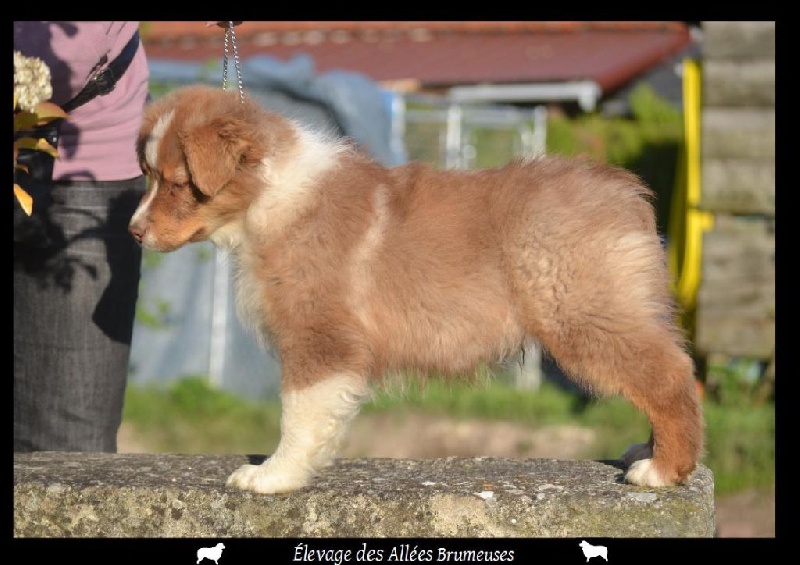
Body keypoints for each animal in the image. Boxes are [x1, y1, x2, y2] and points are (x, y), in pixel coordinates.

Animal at [129, 85, 703, 495]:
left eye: (178, 184)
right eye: (148, 175)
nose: (133, 232)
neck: (267, 198)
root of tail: (622, 191)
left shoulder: (319, 336)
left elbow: (298, 414)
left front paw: (274, 476)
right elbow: (318, 417)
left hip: (581, 313)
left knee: (670, 375)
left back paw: (664, 470)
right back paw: (648, 452)